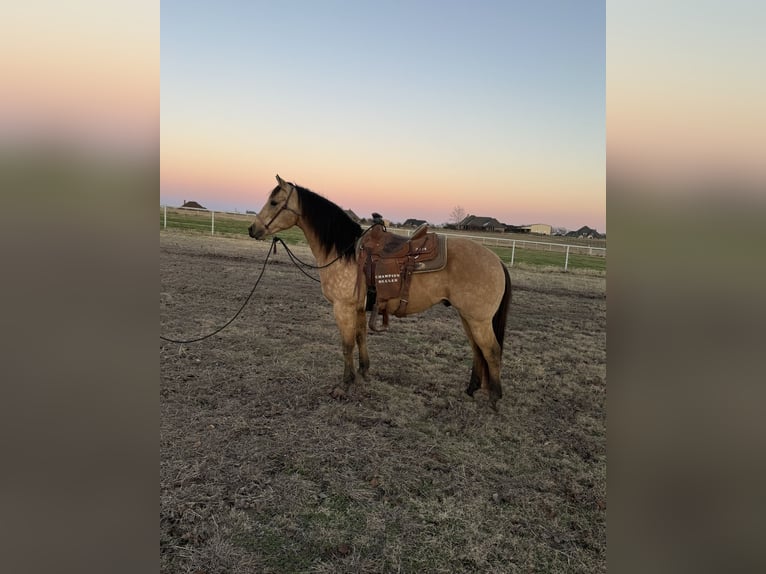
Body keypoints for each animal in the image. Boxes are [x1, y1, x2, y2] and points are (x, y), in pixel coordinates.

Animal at [249, 176, 512, 410]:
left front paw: (344, 385)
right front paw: (364, 373)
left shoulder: (342, 308)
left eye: (274, 202)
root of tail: (497, 261)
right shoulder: (359, 308)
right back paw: (471, 389)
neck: (345, 252)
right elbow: (361, 338)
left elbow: (347, 345)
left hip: (478, 319)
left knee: (491, 351)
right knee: (478, 350)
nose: (252, 229)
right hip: (467, 317)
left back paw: (494, 398)